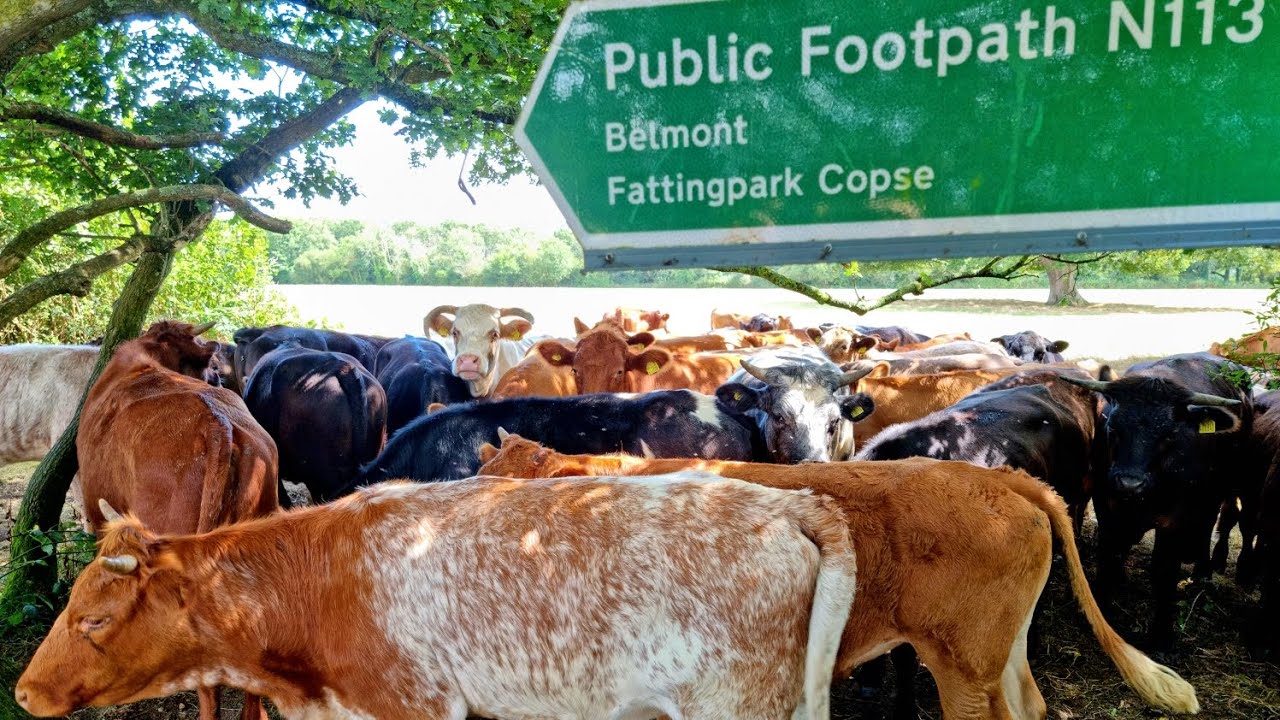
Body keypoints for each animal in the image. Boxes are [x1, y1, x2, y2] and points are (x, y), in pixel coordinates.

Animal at [1061, 353, 1254, 651]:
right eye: (1113, 427)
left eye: (1170, 435)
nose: (1129, 483)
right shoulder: (1107, 508)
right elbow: (1109, 557)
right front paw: (1102, 608)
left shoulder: (1174, 521)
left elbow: (1164, 572)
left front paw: (1162, 635)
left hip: (1219, 492)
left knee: (1211, 524)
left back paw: (1202, 574)